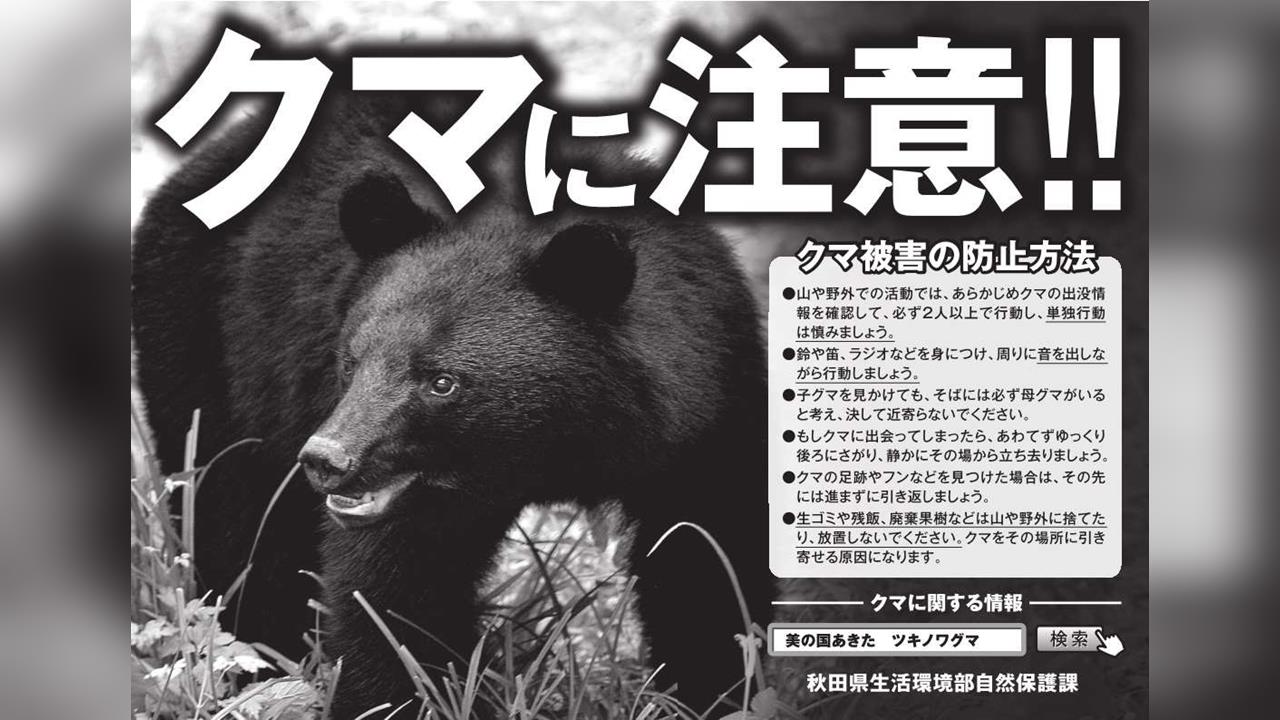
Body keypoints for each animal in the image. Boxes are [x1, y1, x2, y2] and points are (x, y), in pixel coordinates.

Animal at [133, 92, 775, 718]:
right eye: (351, 360)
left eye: (442, 382)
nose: (326, 459)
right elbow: (391, 591)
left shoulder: (708, 409)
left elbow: (707, 558)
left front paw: (716, 694)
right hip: (200, 341)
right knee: (231, 510)